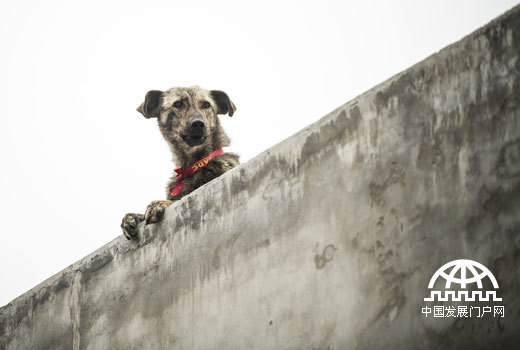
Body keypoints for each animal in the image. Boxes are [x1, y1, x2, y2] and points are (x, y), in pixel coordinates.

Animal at [120, 87, 240, 241]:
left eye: (206, 104)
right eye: (178, 104)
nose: (198, 124)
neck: (191, 166)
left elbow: (176, 201)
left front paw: (159, 203)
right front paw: (131, 217)